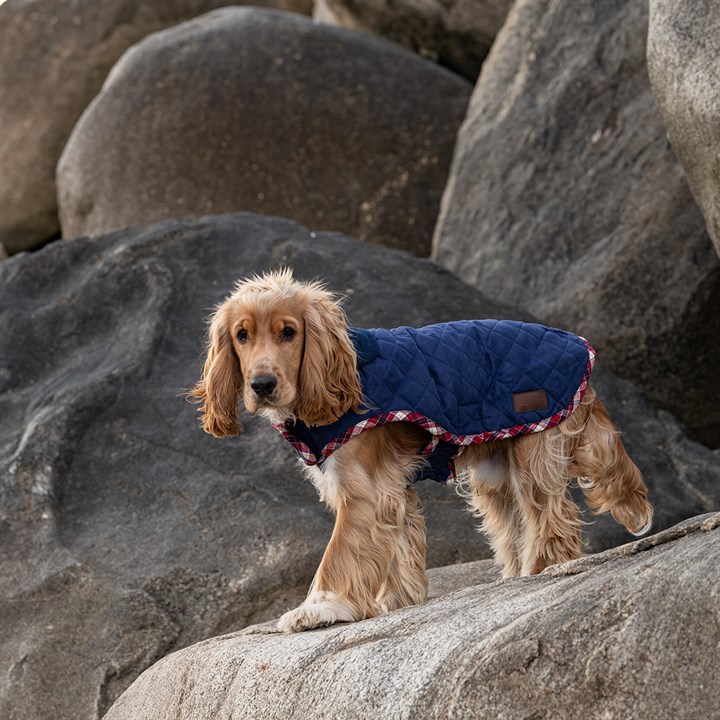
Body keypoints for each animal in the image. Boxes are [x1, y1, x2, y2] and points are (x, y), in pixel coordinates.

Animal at [191, 268, 652, 632]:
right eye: (242, 336)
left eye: (288, 333)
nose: (261, 385)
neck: (343, 371)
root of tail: (575, 342)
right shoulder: (393, 491)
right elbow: (398, 548)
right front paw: (397, 601)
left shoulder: (365, 491)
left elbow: (340, 554)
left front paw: (318, 609)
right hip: (494, 472)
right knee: (514, 525)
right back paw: (514, 577)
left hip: (532, 450)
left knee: (553, 519)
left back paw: (540, 570)